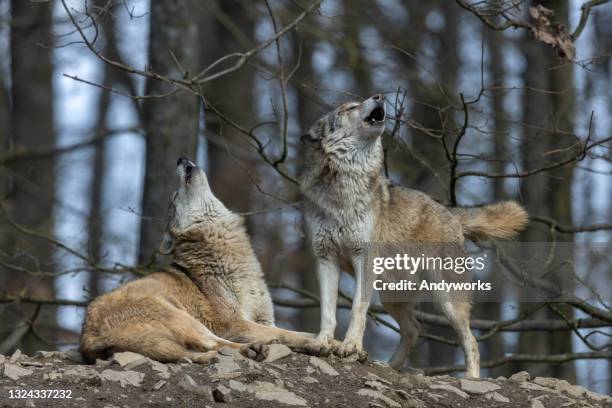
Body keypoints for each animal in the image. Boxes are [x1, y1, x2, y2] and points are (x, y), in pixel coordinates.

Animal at [84, 158, 330, 362]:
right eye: (175, 196)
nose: (180, 158)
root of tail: (87, 337)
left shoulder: (264, 319)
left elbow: (294, 331)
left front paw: (325, 341)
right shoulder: (234, 323)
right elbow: (285, 333)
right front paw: (316, 343)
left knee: (192, 352)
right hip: (182, 317)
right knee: (216, 344)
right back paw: (252, 349)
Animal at [300, 94, 524, 378]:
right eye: (350, 107)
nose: (379, 95)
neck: (343, 188)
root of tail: (451, 213)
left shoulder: (364, 258)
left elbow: (357, 309)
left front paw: (350, 346)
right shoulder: (325, 258)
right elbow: (327, 311)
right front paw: (322, 342)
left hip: (447, 300)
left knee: (470, 341)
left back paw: (471, 379)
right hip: (391, 297)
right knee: (415, 329)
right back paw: (388, 366)